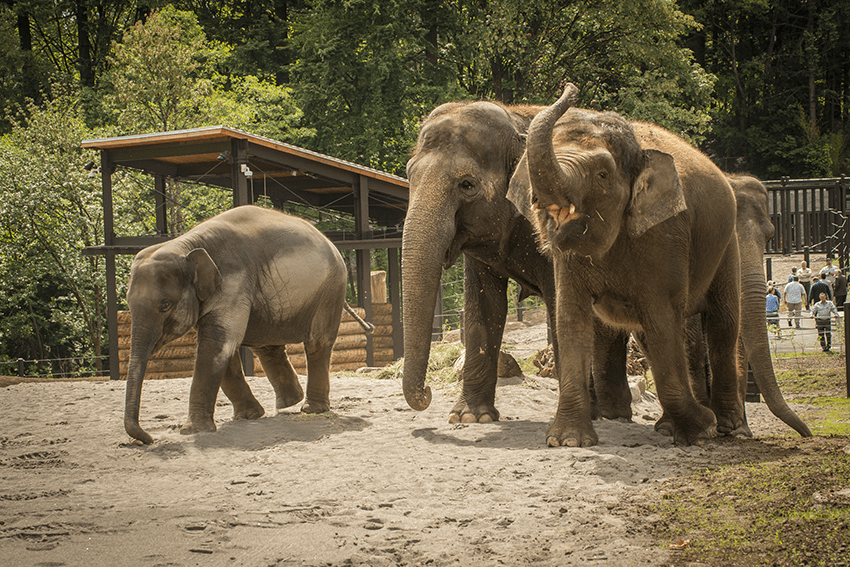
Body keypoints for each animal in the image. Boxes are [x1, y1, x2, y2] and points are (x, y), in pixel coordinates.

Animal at [121, 204, 372, 444]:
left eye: (164, 305)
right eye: (128, 303)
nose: (148, 439)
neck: (186, 245)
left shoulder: (233, 283)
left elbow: (216, 343)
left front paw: (192, 431)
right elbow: (223, 346)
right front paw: (248, 417)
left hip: (330, 290)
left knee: (317, 343)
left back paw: (310, 409)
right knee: (266, 344)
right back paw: (289, 402)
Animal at [400, 100, 632, 424]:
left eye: (467, 184)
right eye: (410, 176)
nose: (428, 393)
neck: (516, 118)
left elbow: (560, 304)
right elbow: (485, 307)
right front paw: (470, 417)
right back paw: (614, 414)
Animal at [510, 84, 744, 448]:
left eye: (603, 175)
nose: (571, 88)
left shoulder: (665, 235)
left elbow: (662, 318)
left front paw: (701, 431)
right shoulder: (569, 260)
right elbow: (572, 320)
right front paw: (568, 441)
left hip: (726, 246)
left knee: (723, 324)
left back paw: (730, 427)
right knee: (652, 335)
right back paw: (668, 427)